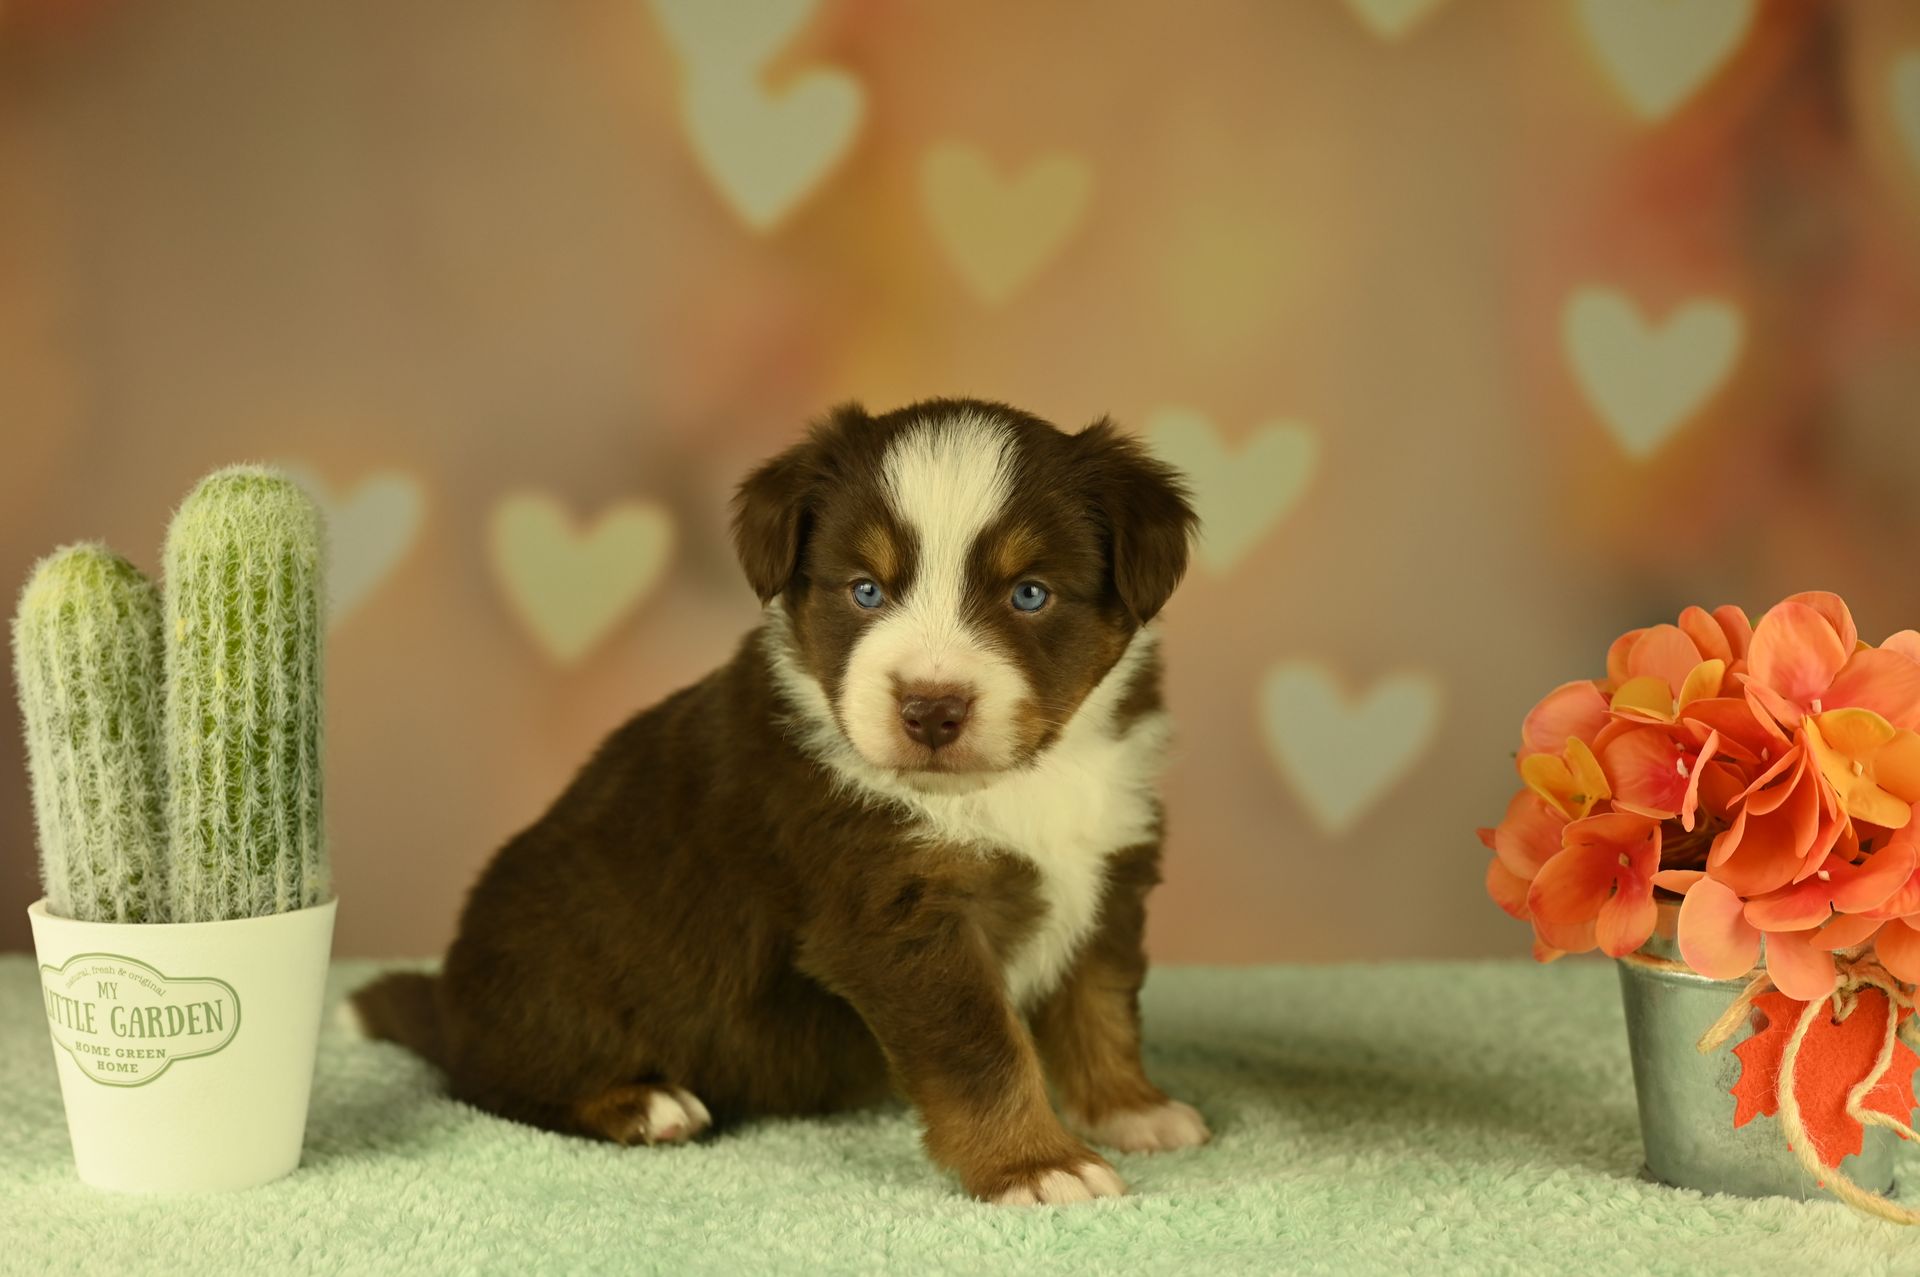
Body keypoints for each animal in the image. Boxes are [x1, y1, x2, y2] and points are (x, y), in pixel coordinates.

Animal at [350, 398, 1207, 1205]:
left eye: (1030, 593)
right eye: (865, 590)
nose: (931, 710)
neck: (1013, 785)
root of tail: (449, 1001)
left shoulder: (1108, 868)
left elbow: (1101, 1004)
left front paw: (1130, 1107)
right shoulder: (897, 915)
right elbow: (983, 1051)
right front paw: (1038, 1165)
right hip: (553, 968)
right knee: (491, 1083)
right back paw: (641, 1102)